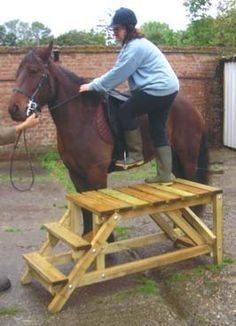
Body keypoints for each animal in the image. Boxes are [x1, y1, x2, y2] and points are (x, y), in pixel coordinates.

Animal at [7, 42, 206, 232]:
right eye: (17, 72)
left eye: (34, 71)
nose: (14, 109)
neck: (83, 118)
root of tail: (192, 107)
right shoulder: (76, 175)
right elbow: (87, 212)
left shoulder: (97, 174)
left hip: (188, 157)